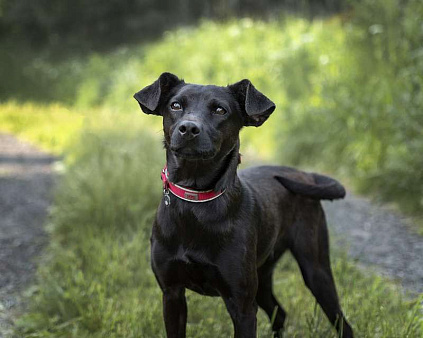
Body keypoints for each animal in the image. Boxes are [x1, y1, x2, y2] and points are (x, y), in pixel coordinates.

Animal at [134, 72, 352, 336]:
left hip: (316, 270)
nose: (188, 128)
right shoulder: (172, 294)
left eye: (220, 110)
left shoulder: (242, 306)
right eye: (175, 105)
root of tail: (305, 174)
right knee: (280, 313)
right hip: (263, 277)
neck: (196, 203)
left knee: (343, 324)